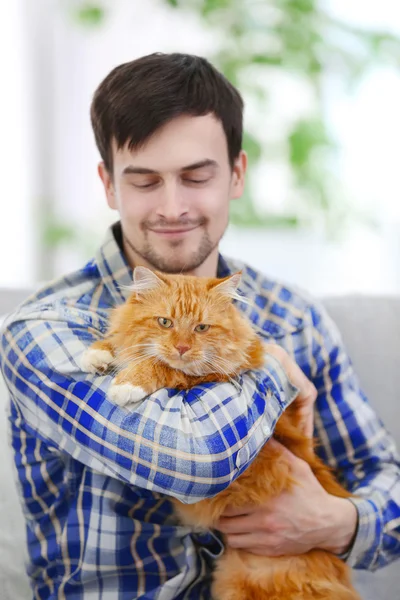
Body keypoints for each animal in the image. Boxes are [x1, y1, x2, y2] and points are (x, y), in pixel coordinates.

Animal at [81, 268, 360, 600]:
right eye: (165, 322)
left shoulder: (213, 375)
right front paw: (98, 353)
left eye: (201, 328)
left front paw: (128, 382)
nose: (182, 348)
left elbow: (161, 365)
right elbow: (124, 342)